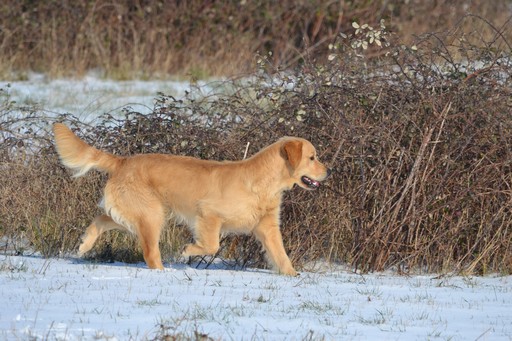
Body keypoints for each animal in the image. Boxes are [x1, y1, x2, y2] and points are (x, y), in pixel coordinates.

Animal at [54, 123, 330, 274]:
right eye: (312, 157)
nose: (329, 171)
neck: (262, 182)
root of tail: (122, 161)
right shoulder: (208, 215)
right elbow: (212, 245)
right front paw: (188, 251)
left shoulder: (268, 226)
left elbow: (281, 254)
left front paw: (292, 275)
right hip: (152, 215)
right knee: (150, 254)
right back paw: (163, 273)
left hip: (139, 213)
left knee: (102, 218)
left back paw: (84, 245)